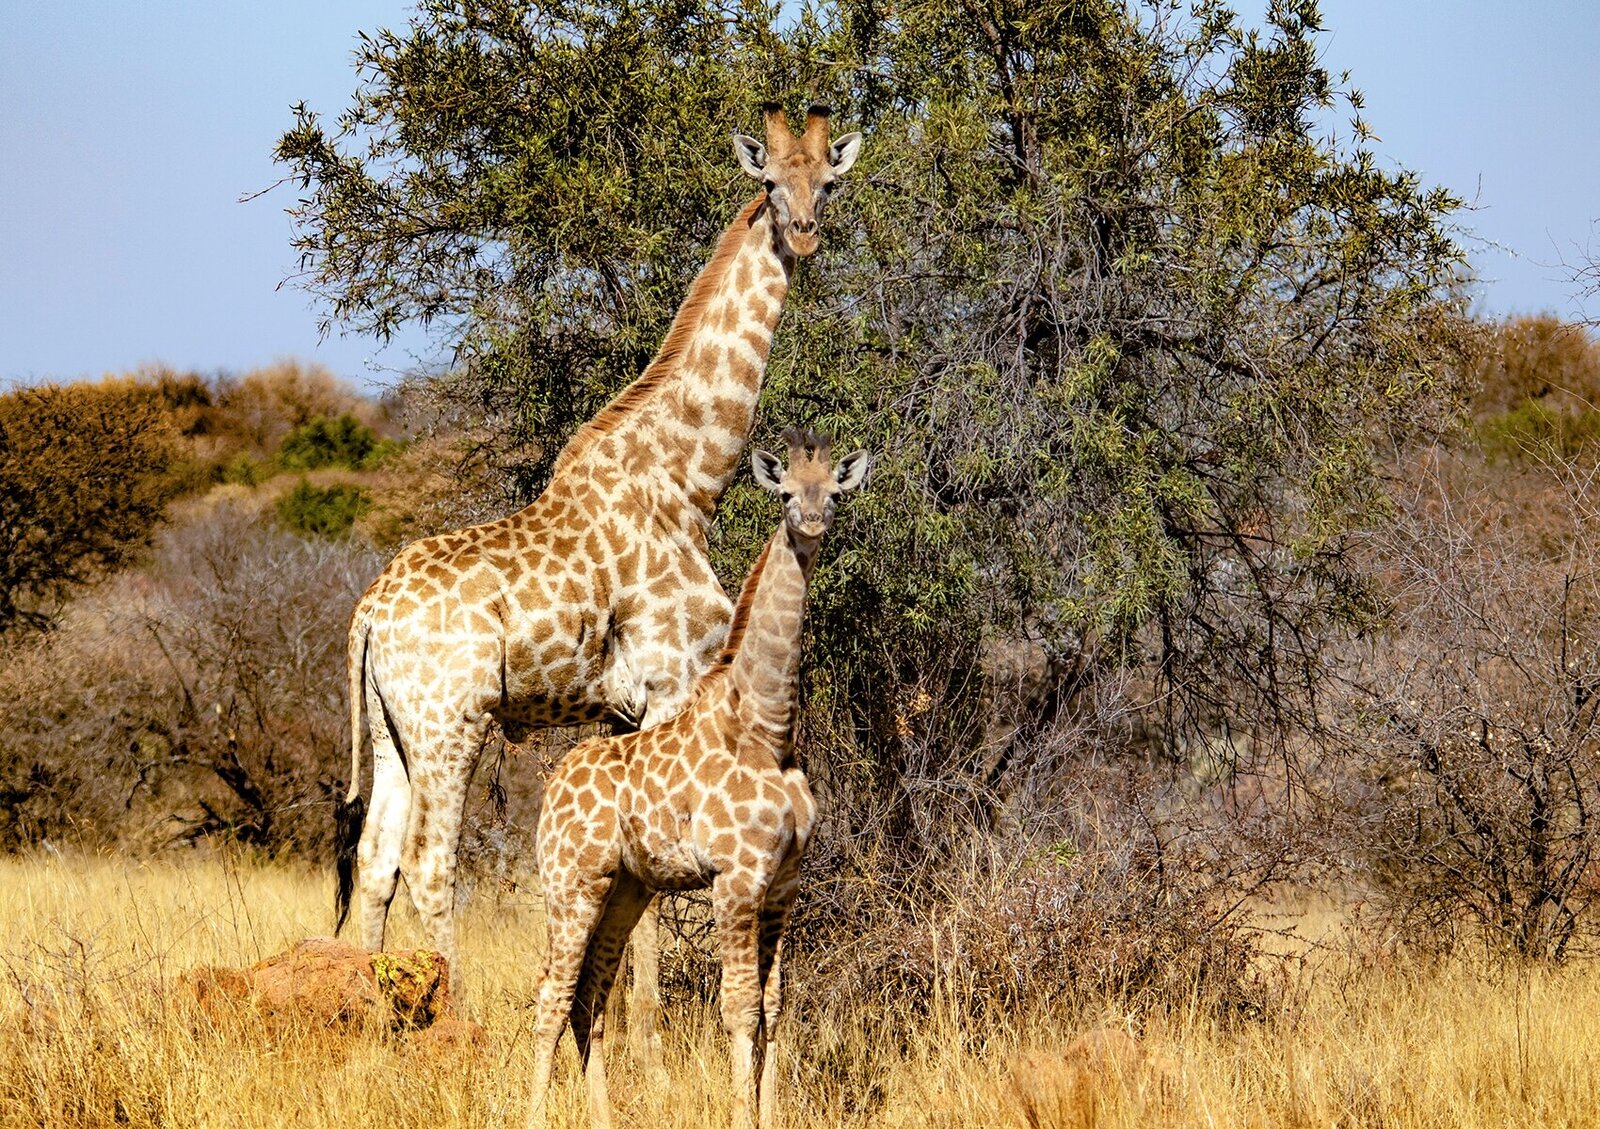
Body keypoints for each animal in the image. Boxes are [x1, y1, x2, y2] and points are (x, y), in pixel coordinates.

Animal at [332, 105, 870, 1055]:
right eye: (772, 183)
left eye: (829, 181)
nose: (804, 233)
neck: (689, 477)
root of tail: (368, 613)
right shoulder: (670, 680)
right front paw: (648, 1044)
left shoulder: (624, 707)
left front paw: (616, 1032)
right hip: (451, 720)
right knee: (432, 861)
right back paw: (460, 1018)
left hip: (396, 730)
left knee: (377, 859)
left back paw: (375, 1010)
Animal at [528, 431, 864, 1125]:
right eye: (785, 493)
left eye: (834, 492)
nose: (811, 521)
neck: (769, 728)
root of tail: (549, 792)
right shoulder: (735, 877)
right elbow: (737, 1008)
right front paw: (741, 1117)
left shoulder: (784, 882)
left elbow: (773, 1006)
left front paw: (769, 1114)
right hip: (570, 883)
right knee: (552, 995)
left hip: (625, 888)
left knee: (590, 997)